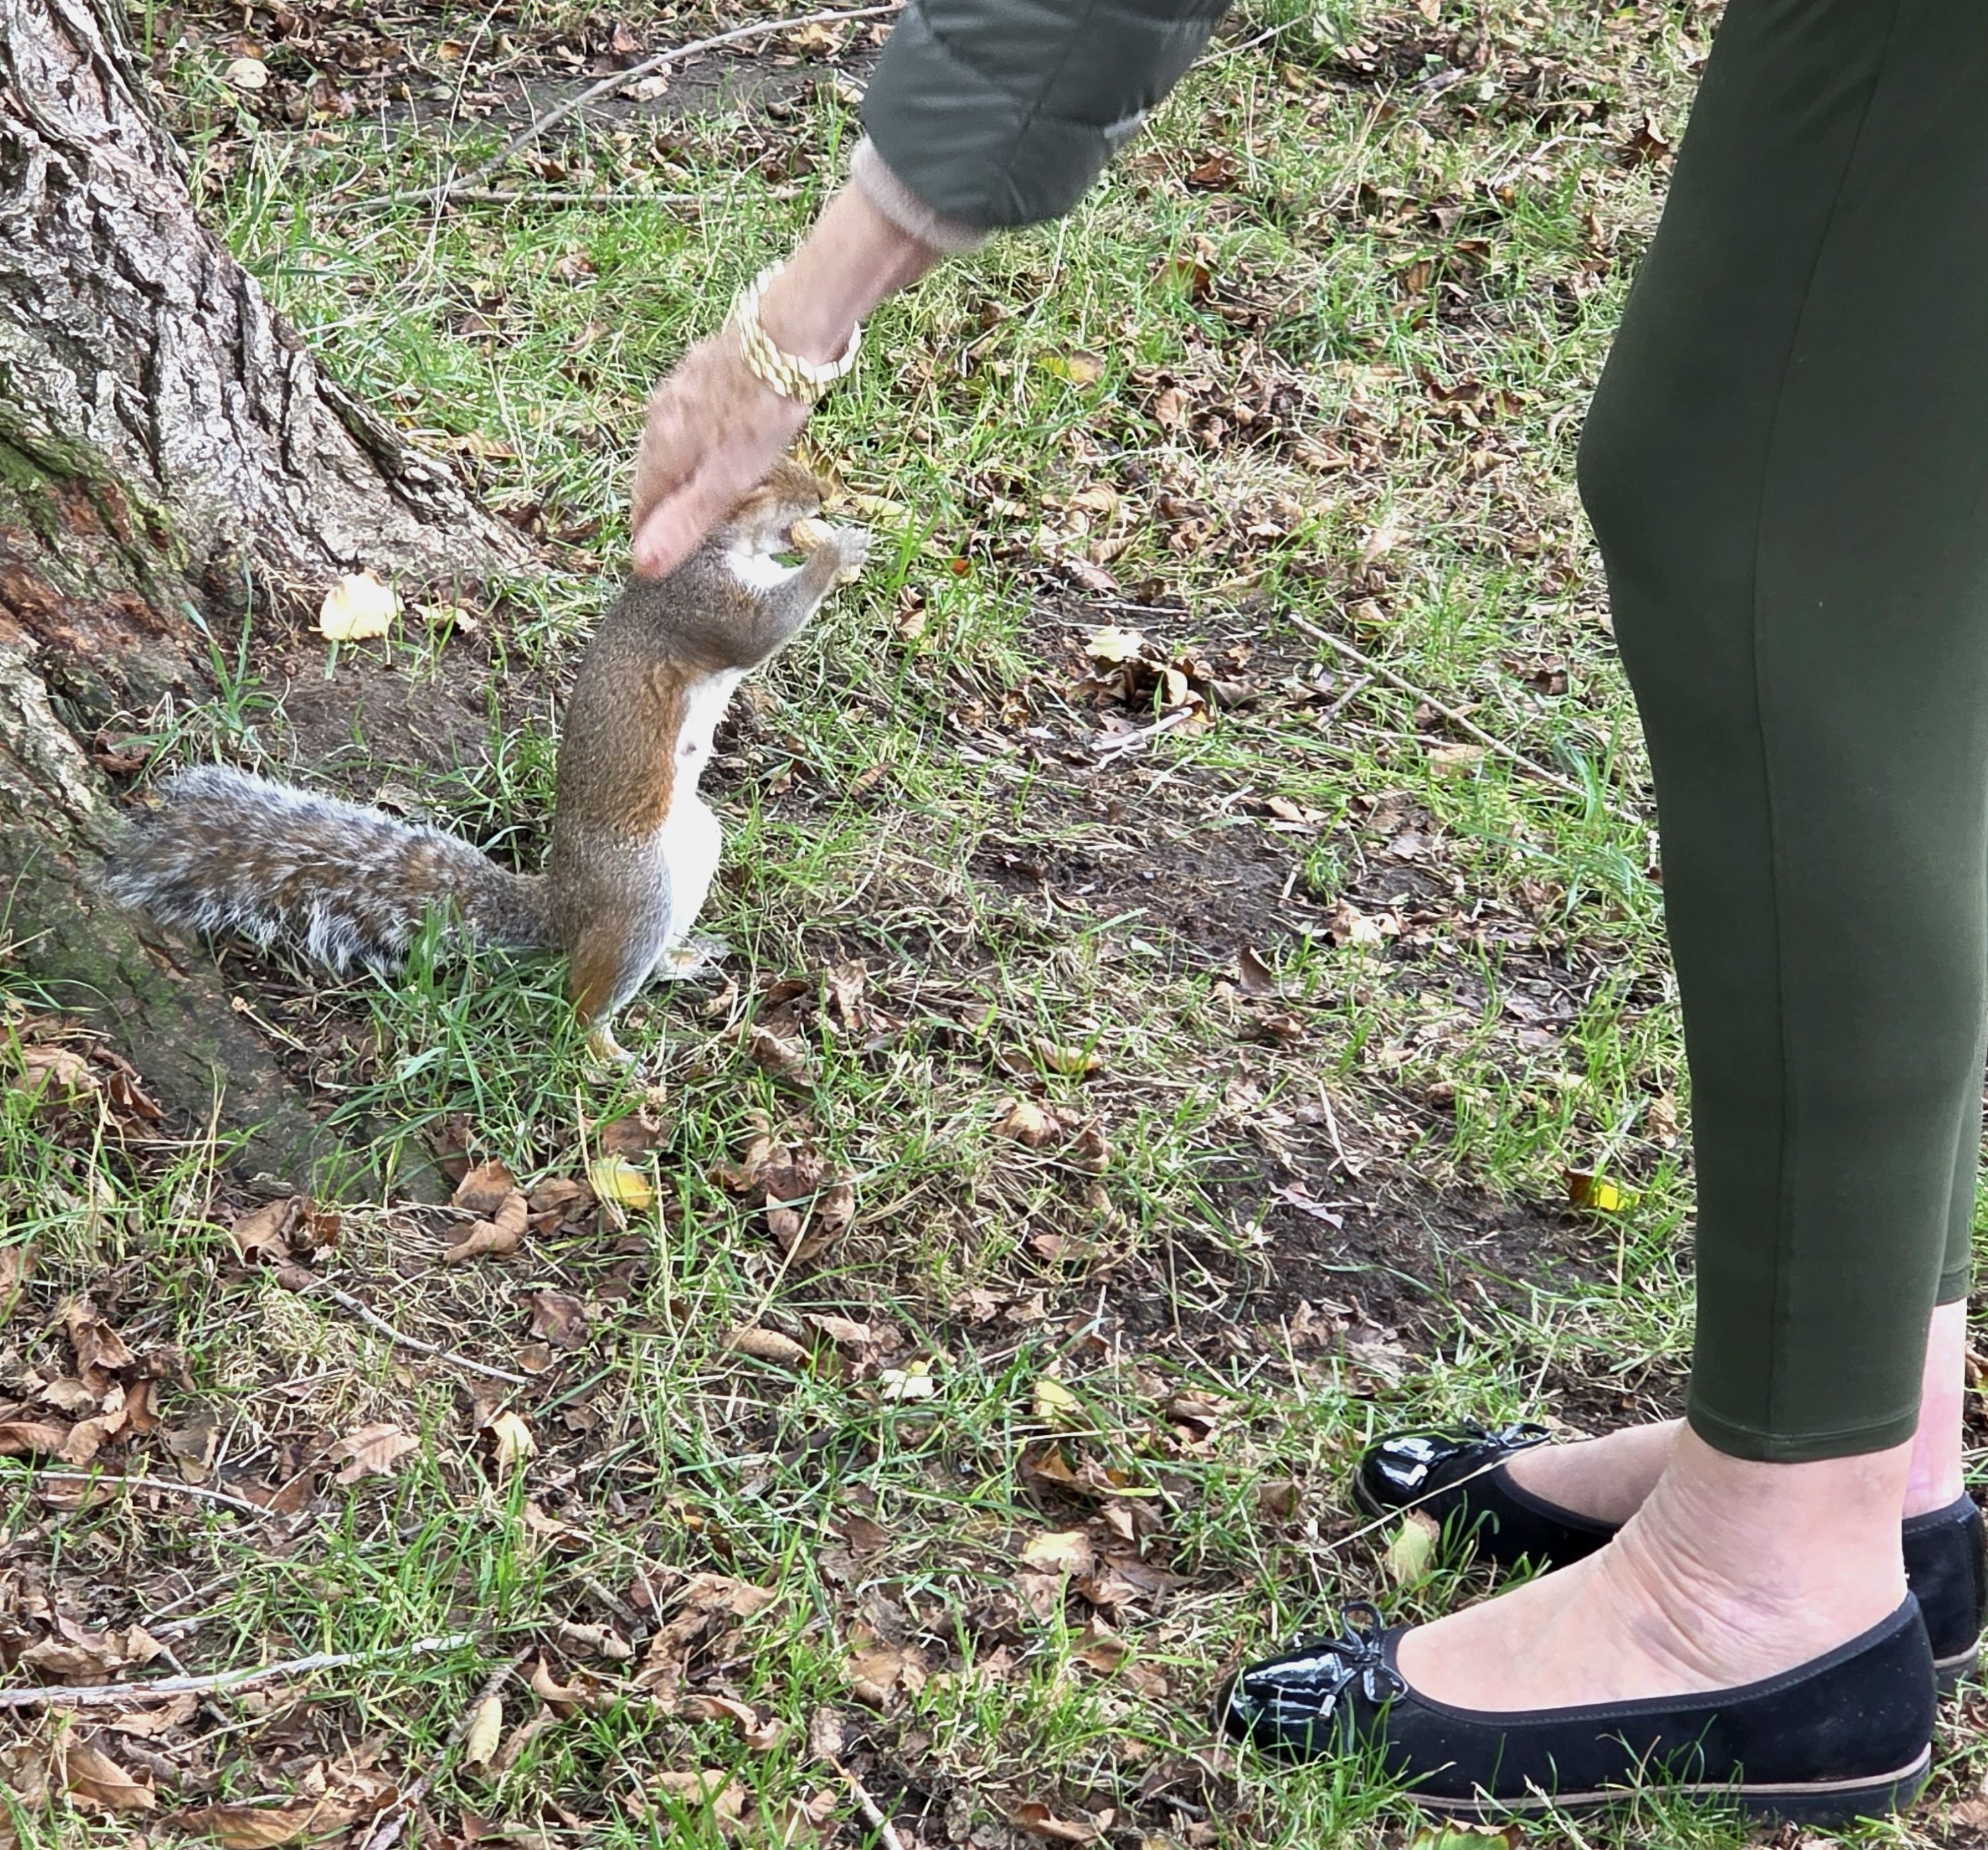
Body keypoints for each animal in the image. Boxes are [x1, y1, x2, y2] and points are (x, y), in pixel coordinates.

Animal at [105, 459, 867, 1062]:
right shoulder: (699, 601)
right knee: (584, 995)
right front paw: (837, 551)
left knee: (644, 958)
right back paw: (602, 1048)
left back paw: (682, 957)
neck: (725, 547)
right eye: (756, 481)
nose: (823, 490)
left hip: (695, 848)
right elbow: (757, 632)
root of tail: (562, 907)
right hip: (637, 889)